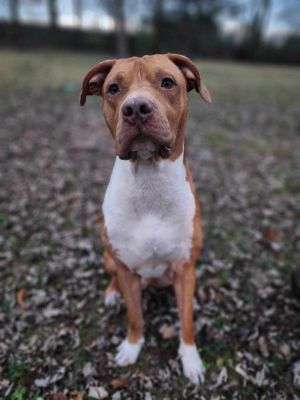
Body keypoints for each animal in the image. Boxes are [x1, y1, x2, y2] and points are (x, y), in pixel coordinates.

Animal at [79, 54, 211, 384]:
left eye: (167, 82)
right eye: (113, 88)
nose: (136, 108)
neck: (150, 182)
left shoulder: (184, 266)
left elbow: (186, 321)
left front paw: (191, 360)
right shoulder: (127, 269)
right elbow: (135, 316)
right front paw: (131, 347)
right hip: (109, 257)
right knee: (113, 275)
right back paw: (112, 295)